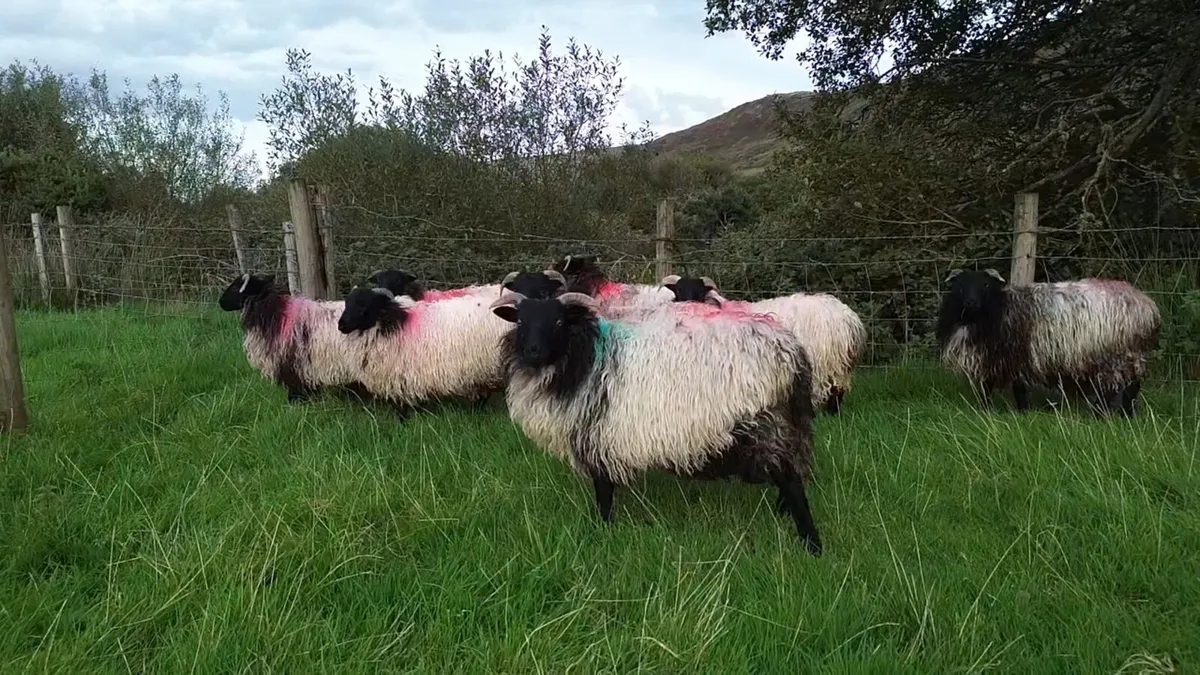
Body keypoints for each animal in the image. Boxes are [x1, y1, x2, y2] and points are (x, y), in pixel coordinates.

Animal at [489, 290, 824, 555]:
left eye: (559, 321)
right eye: (521, 322)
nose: (532, 351)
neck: (585, 357)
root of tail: (791, 350)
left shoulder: (598, 437)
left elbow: (603, 491)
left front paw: (601, 528)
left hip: (765, 424)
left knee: (792, 483)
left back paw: (812, 545)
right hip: (785, 425)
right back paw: (782, 515)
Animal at [661, 274, 868, 415]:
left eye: (698, 292)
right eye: (678, 291)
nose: (687, 305)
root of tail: (849, 319)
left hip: (825, 364)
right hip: (840, 367)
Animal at [935, 268, 1161, 416]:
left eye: (985, 285)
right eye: (960, 286)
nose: (971, 302)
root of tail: (1147, 306)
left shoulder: (1013, 356)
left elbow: (1015, 388)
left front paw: (1021, 413)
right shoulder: (993, 359)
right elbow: (986, 387)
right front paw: (985, 411)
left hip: (1115, 356)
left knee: (1115, 388)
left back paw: (1100, 415)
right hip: (1133, 355)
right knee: (1131, 387)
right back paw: (1126, 415)